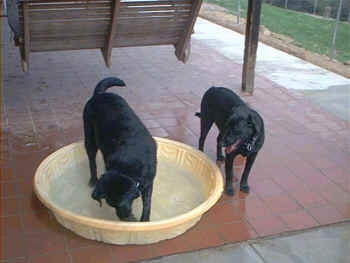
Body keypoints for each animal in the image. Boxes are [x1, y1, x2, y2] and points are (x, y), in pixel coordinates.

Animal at [82, 77, 157, 222]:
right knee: (91, 160)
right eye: (111, 204)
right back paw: (93, 180)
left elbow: (147, 203)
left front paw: (145, 220)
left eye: (121, 203)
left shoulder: (149, 181)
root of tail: (99, 94)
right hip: (89, 137)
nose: (124, 217)